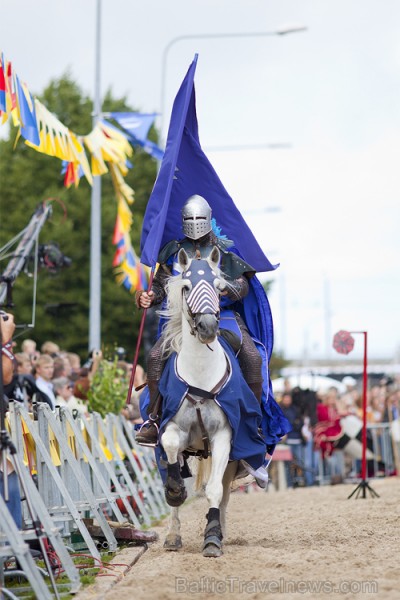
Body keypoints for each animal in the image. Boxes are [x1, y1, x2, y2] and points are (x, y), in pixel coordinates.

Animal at [159, 245, 239, 556]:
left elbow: (215, 490)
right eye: (186, 286)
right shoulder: (173, 430)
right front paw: (175, 491)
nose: (207, 326)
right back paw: (172, 535)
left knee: (224, 491)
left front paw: (213, 538)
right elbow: (170, 449)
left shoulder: (224, 437)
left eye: (218, 286)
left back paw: (221, 530)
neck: (201, 376)